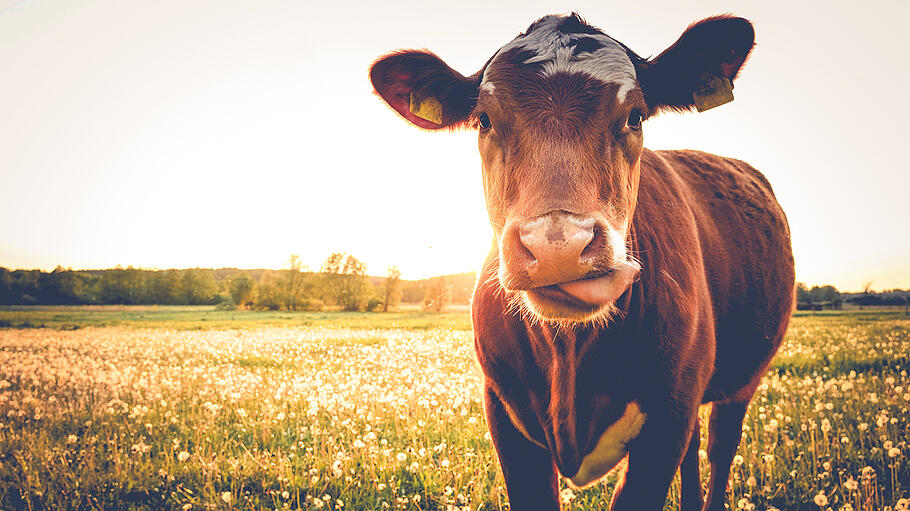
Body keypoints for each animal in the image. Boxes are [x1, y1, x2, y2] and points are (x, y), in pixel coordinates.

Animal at [366, 12, 796, 511]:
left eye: (635, 116)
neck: (568, 353)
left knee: (720, 447)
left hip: (741, 382)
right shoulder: (504, 414)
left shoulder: (668, 416)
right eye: (484, 120)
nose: (559, 245)